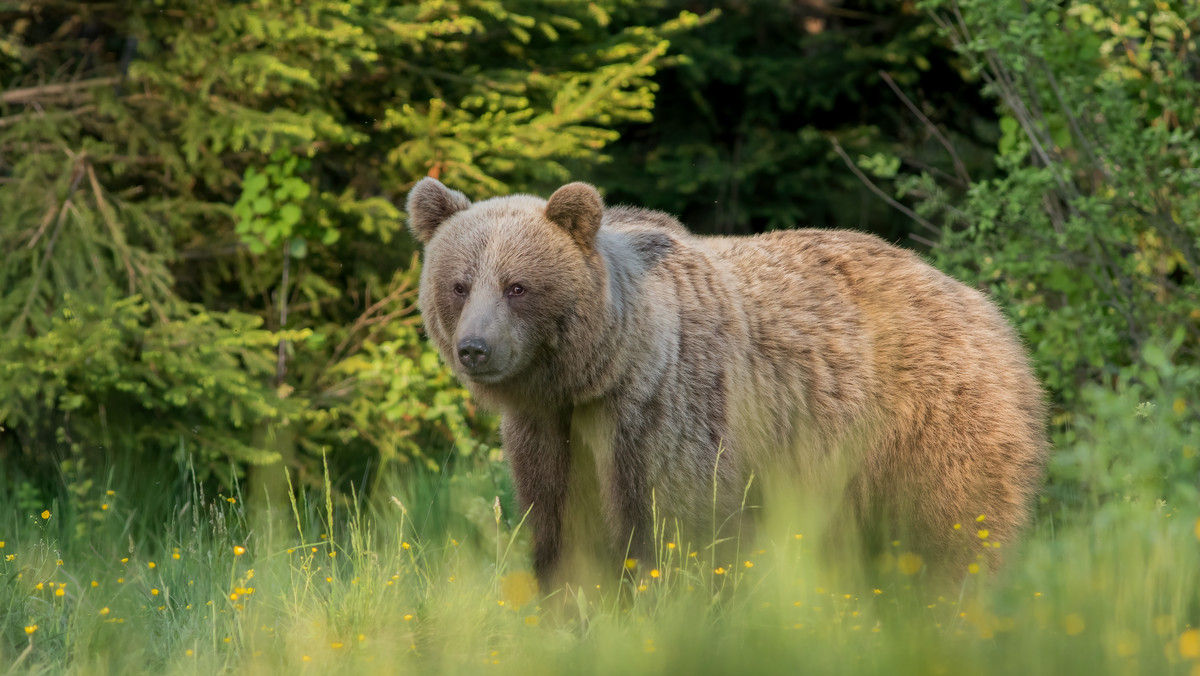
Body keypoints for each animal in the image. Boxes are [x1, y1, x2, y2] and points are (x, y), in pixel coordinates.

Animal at [408, 177, 1046, 590]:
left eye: (517, 286)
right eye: (459, 284)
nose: (475, 348)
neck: (598, 374)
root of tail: (979, 302)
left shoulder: (667, 408)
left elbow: (674, 524)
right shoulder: (549, 432)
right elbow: (561, 527)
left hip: (931, 415)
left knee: (951, 526)